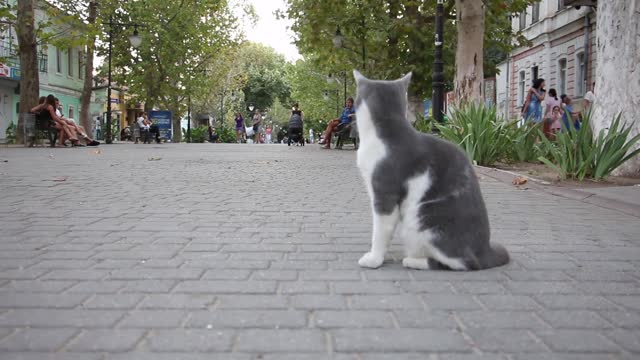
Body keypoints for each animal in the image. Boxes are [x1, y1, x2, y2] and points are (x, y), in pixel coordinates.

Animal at [352, 71, 508, 270]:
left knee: (461, 262)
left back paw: (412, 261)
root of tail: (485, 251)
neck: (389, 131)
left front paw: (374, 259)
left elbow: (381, 230)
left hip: (422, 220)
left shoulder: (384, 194)